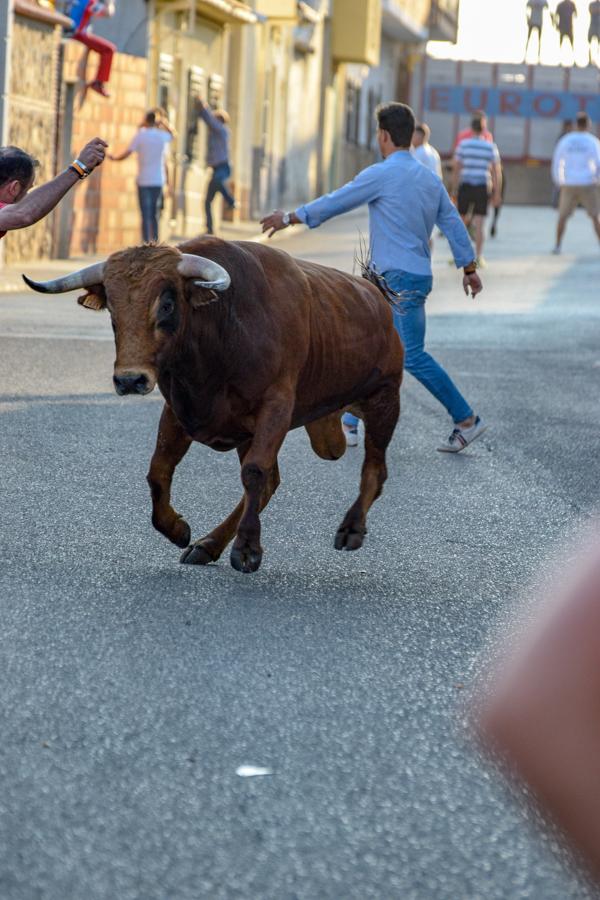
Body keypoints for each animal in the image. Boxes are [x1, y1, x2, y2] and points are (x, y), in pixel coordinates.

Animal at [25, 239, 406, 572]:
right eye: (113, 309)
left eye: (166, 304)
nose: (130, 380)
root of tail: (374, 294)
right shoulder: (179, 411)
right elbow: (158, 471)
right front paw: (177, 529)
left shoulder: (276, 408)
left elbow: (254, 473)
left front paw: (248, 549)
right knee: (272, 482)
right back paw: (207, 545)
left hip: (384, 400)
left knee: (374, 470)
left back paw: (351, 529)